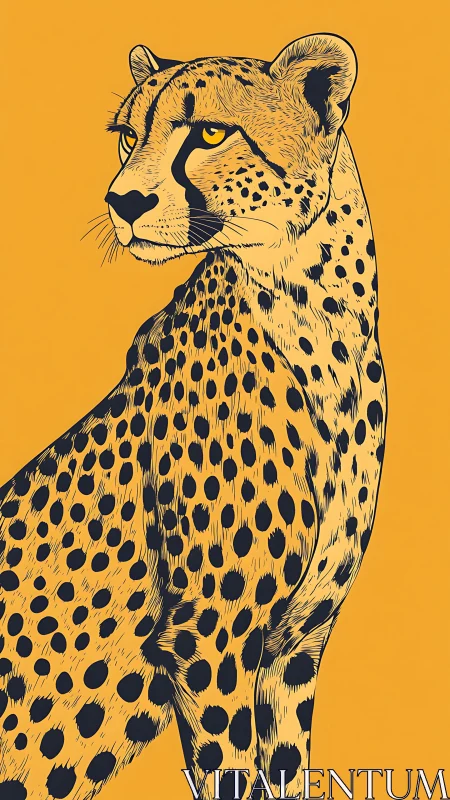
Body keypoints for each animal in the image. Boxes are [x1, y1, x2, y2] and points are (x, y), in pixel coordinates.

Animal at [0, 33, 387, 800]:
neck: (322, 312)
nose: (122, 200)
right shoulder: (210, 636)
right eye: (127, 136)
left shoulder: (291, 648)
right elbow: (229, 771)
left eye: (209, 133)